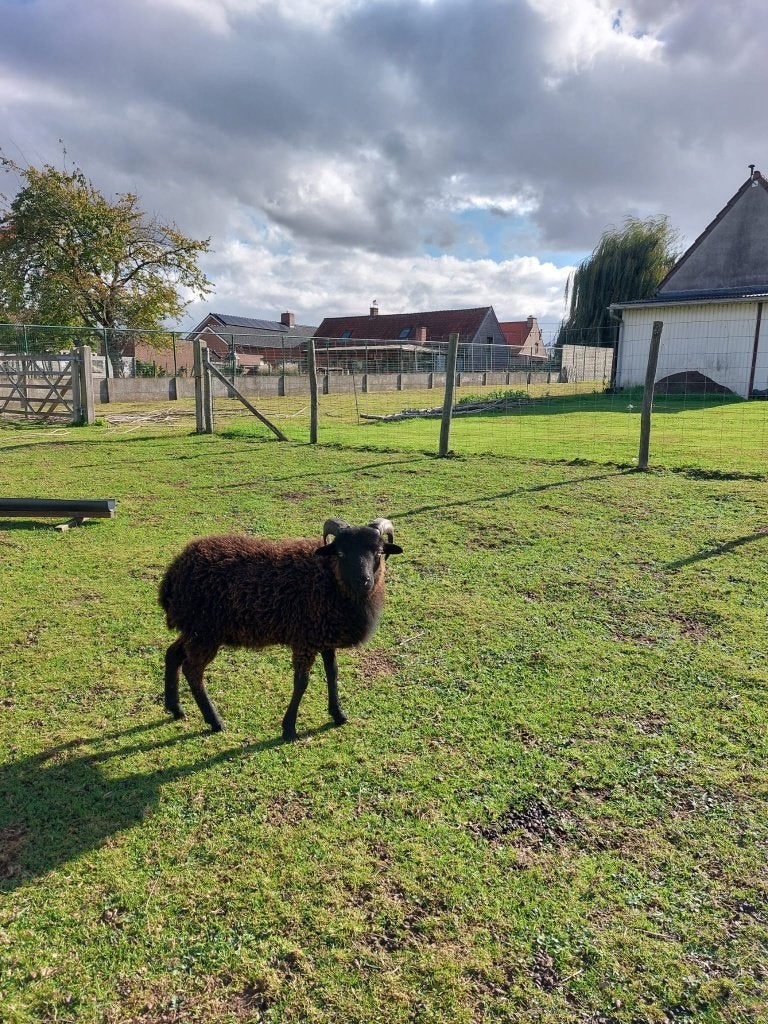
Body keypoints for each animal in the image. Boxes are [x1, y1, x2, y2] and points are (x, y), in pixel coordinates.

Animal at [159, 517, 403, 740]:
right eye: (341, 553)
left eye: (378, 552)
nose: (364, 581)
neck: (330, 579)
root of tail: (173, 573)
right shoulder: (304, 640)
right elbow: (302, 682)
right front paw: (289, 728)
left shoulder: (324, 636)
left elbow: (332, 673)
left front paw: (338, 714)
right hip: (206, 632)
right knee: (192, 670)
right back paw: (214, 721)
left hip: (195, 629)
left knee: (173, 654)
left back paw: (175, 708)